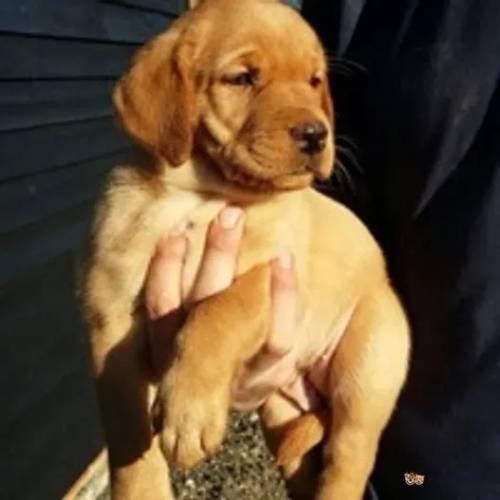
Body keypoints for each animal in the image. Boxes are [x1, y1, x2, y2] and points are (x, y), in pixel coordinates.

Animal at [81, 0, 410, 498]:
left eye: (314, 81)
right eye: (242, 78)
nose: (316, 135)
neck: (202, 199)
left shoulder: (279, 276)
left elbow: (221, 307)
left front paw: (189, 409)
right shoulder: (110, 316)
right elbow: (125, 427)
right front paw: (144, 487)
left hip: (367, 372)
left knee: (348, 462)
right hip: (282, 411)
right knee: (304, 460)